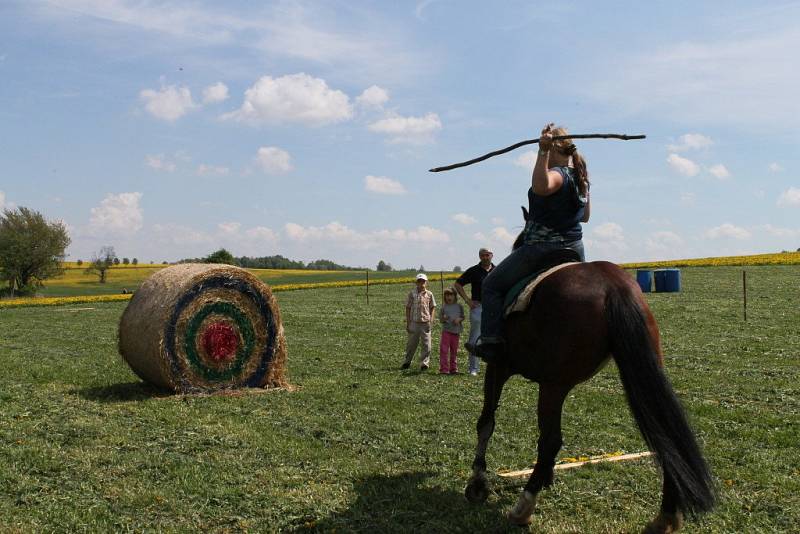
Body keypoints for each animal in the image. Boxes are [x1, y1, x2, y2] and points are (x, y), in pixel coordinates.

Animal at [466, 258, 716, 532]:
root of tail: (613, 284)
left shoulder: (498, 367)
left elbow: (486, 422)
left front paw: (477, 482)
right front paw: (546, 477)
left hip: (553, 385)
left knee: (550, 440)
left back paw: (523, 508)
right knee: (667, 439)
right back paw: (665, 518)